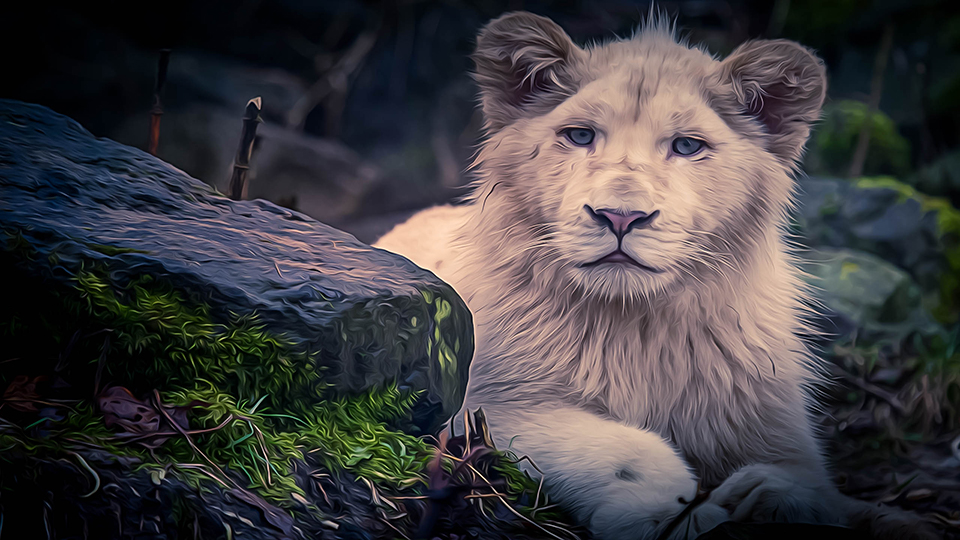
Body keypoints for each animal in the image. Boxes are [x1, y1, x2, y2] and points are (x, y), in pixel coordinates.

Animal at [375, 12, 935, 540]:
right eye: (580, 136)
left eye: (687, 146)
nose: (620, 217)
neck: (638, 325)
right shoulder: (484, 403)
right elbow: (620, 445)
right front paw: (669, 511)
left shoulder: (774, 427)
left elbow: (823, 492)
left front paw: (774, 495)